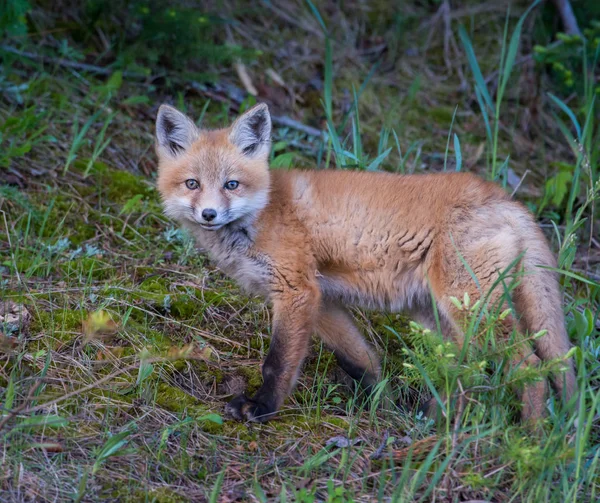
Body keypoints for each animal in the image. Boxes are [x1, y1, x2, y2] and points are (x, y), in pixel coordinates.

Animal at [155, 104, 576, 424]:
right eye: (192, 184)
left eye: (232, 185)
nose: (209, 214)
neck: (263, 212)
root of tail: (507, 199)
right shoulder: (322, 300)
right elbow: (361, 360)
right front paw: (380, 403)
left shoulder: (296, 292)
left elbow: (277, 363)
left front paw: (261, 408)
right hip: (434, 313)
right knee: (463, 364)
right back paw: (440, 419)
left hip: (471, 307)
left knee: (529, 365)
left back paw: (529, 439)